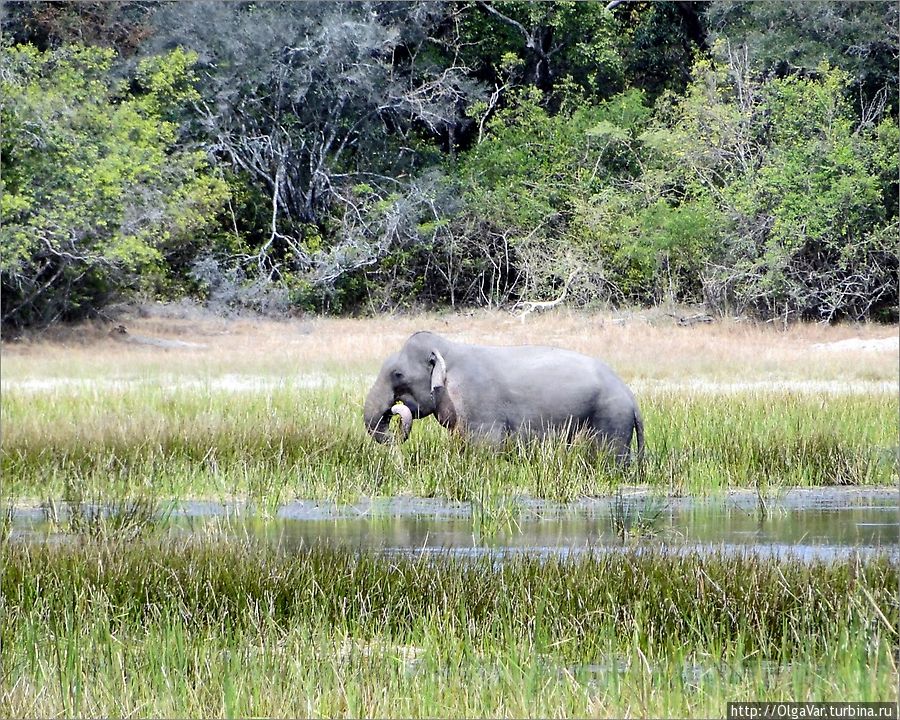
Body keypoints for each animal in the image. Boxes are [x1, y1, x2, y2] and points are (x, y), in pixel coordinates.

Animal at [362, 332, 644, 462]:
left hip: (611, 419)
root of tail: (631, 397)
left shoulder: (480, 408)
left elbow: (485, 448)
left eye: (397, 374)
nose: (394, 409)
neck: (448, 348)